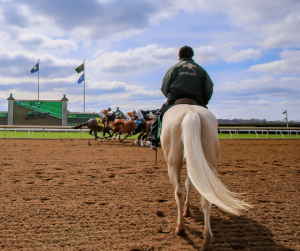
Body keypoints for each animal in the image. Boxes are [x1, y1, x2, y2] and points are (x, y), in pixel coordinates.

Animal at [161, 104, 250, 251]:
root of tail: (191, 112)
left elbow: (185, 187)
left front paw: (186, 211)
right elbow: (190, 184)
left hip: (173, 165)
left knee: (179, 192)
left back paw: (181, 228)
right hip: (207, 163)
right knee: (207, 196)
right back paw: (207, 240)